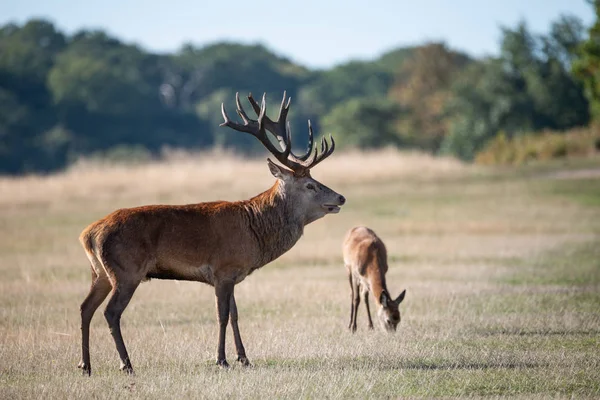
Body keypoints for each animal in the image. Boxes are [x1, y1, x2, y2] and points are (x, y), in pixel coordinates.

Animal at [77, 90, 344, 376]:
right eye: (310, 185)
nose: (340, 197)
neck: (255, 230)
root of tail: (88, 234)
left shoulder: (233, 274)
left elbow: (236, 314)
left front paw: (244, 358)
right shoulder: (222, 270)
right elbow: (222, 315)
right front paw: (222, 359)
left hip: (100, 272)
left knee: (85, 308)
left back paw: (85, 365)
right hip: (127, 270)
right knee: (111, 312)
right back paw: (126, 364)